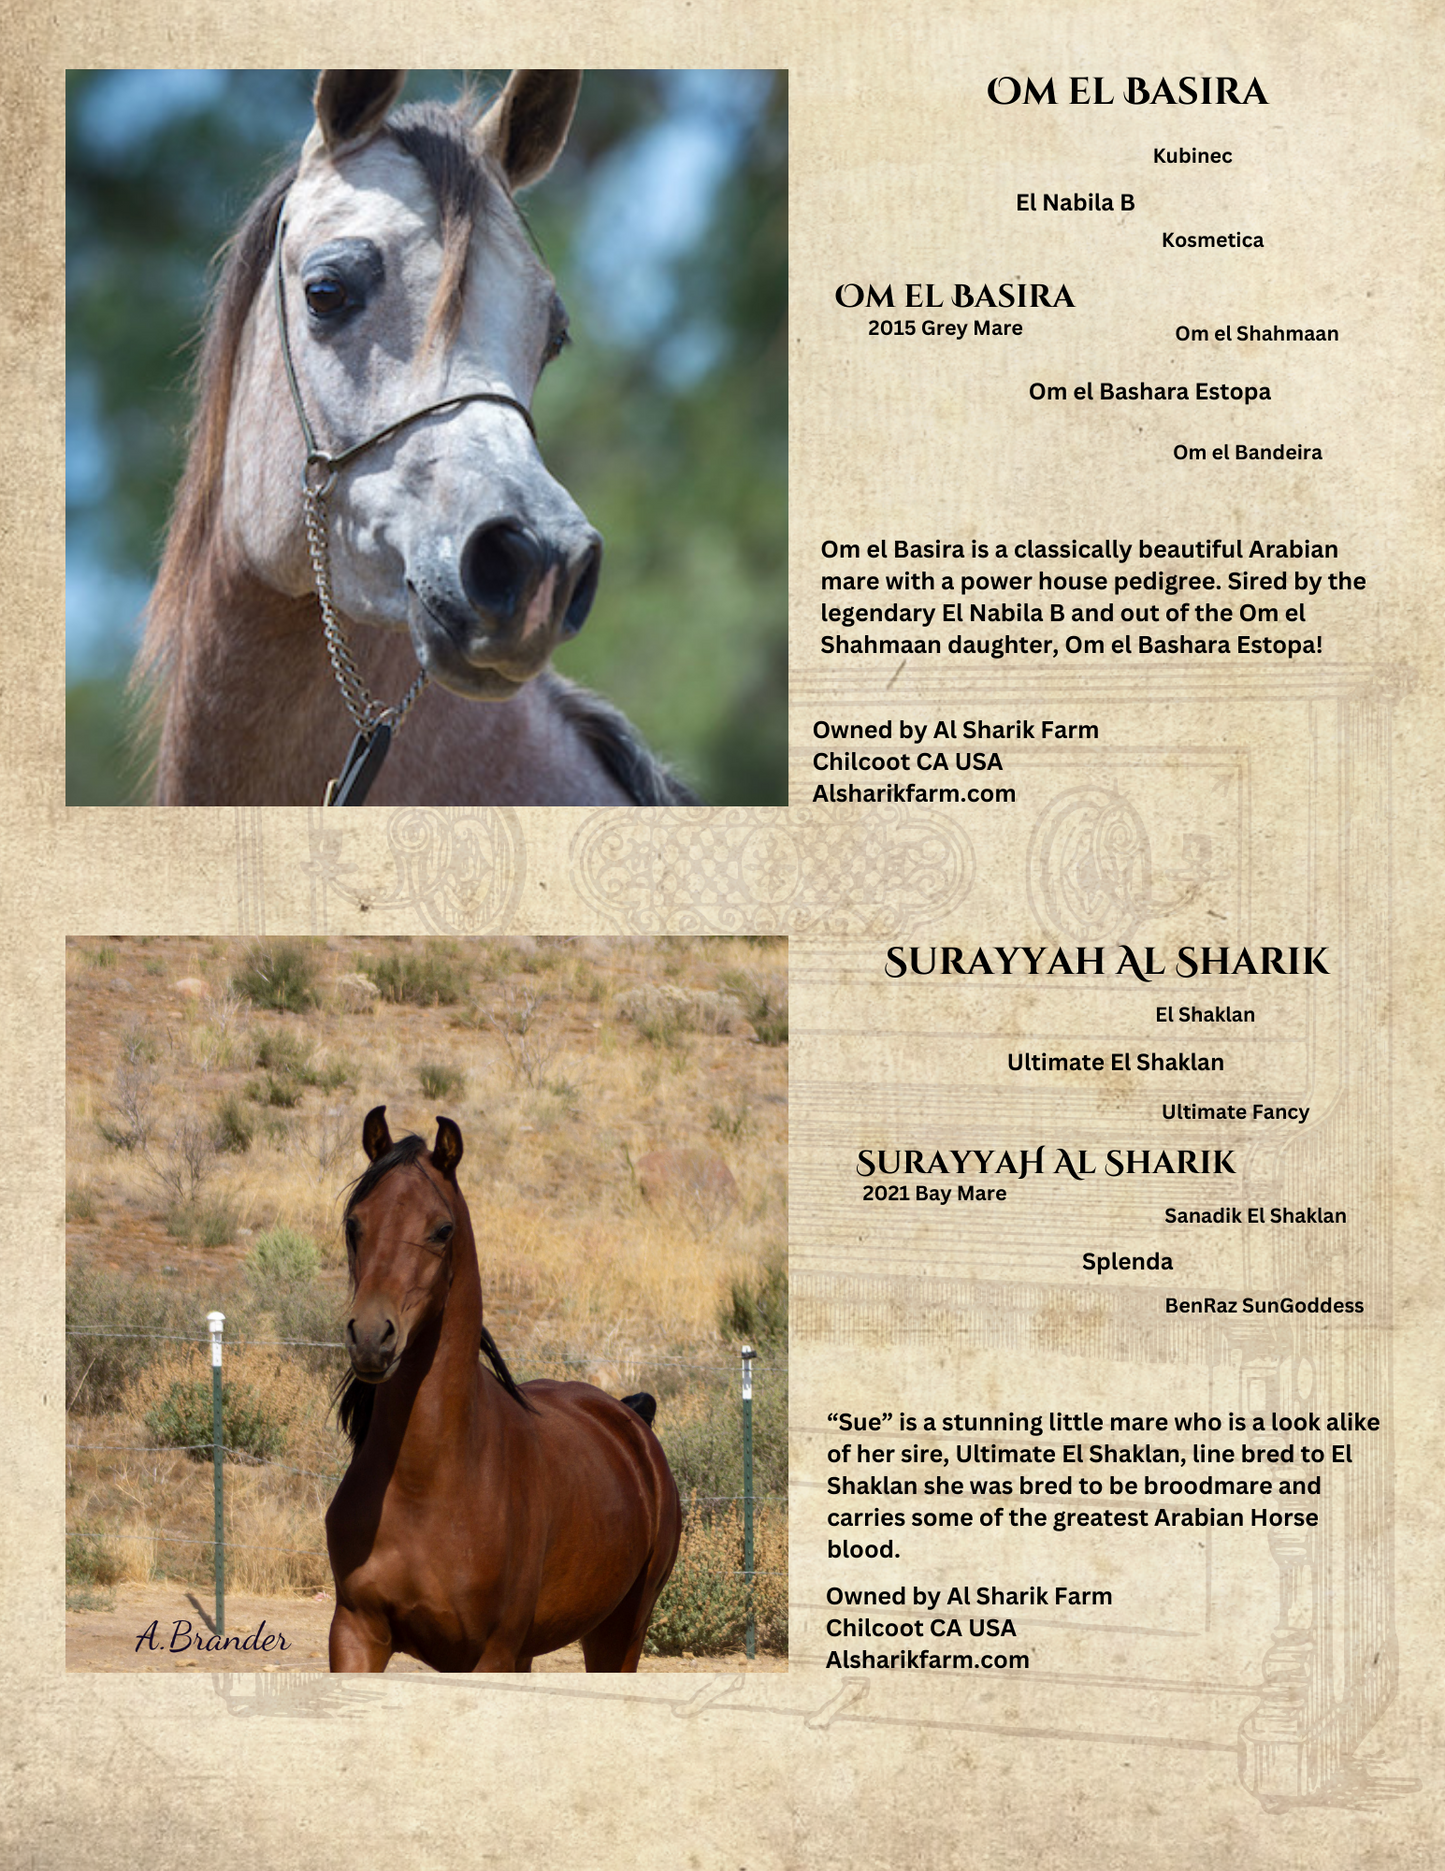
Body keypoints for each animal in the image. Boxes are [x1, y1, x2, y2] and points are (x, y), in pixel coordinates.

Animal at [326, 1107, 681, 1672]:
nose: (371, 1338)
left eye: (442, 1229)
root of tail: (633, 1420)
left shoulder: (488, 1653)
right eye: (354, 1223)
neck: (427, 1484)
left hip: (621, 1631)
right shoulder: (356, 1633)